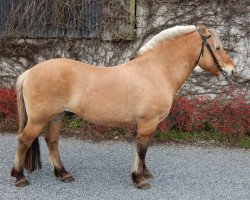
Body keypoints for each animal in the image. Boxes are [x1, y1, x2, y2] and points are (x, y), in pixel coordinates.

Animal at [10, 25, 234, 189]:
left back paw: (63, 173)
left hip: (56, 116)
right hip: (38, 119)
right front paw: (139, 179)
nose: (231, 70)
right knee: (23, 141)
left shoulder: (148, 124)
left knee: (52, 141)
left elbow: (143, 149)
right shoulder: (147, 122)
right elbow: (142, 149)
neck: (156, 71)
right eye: (217, 48)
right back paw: (20, 177)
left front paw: (144, 173)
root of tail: (29, 72)